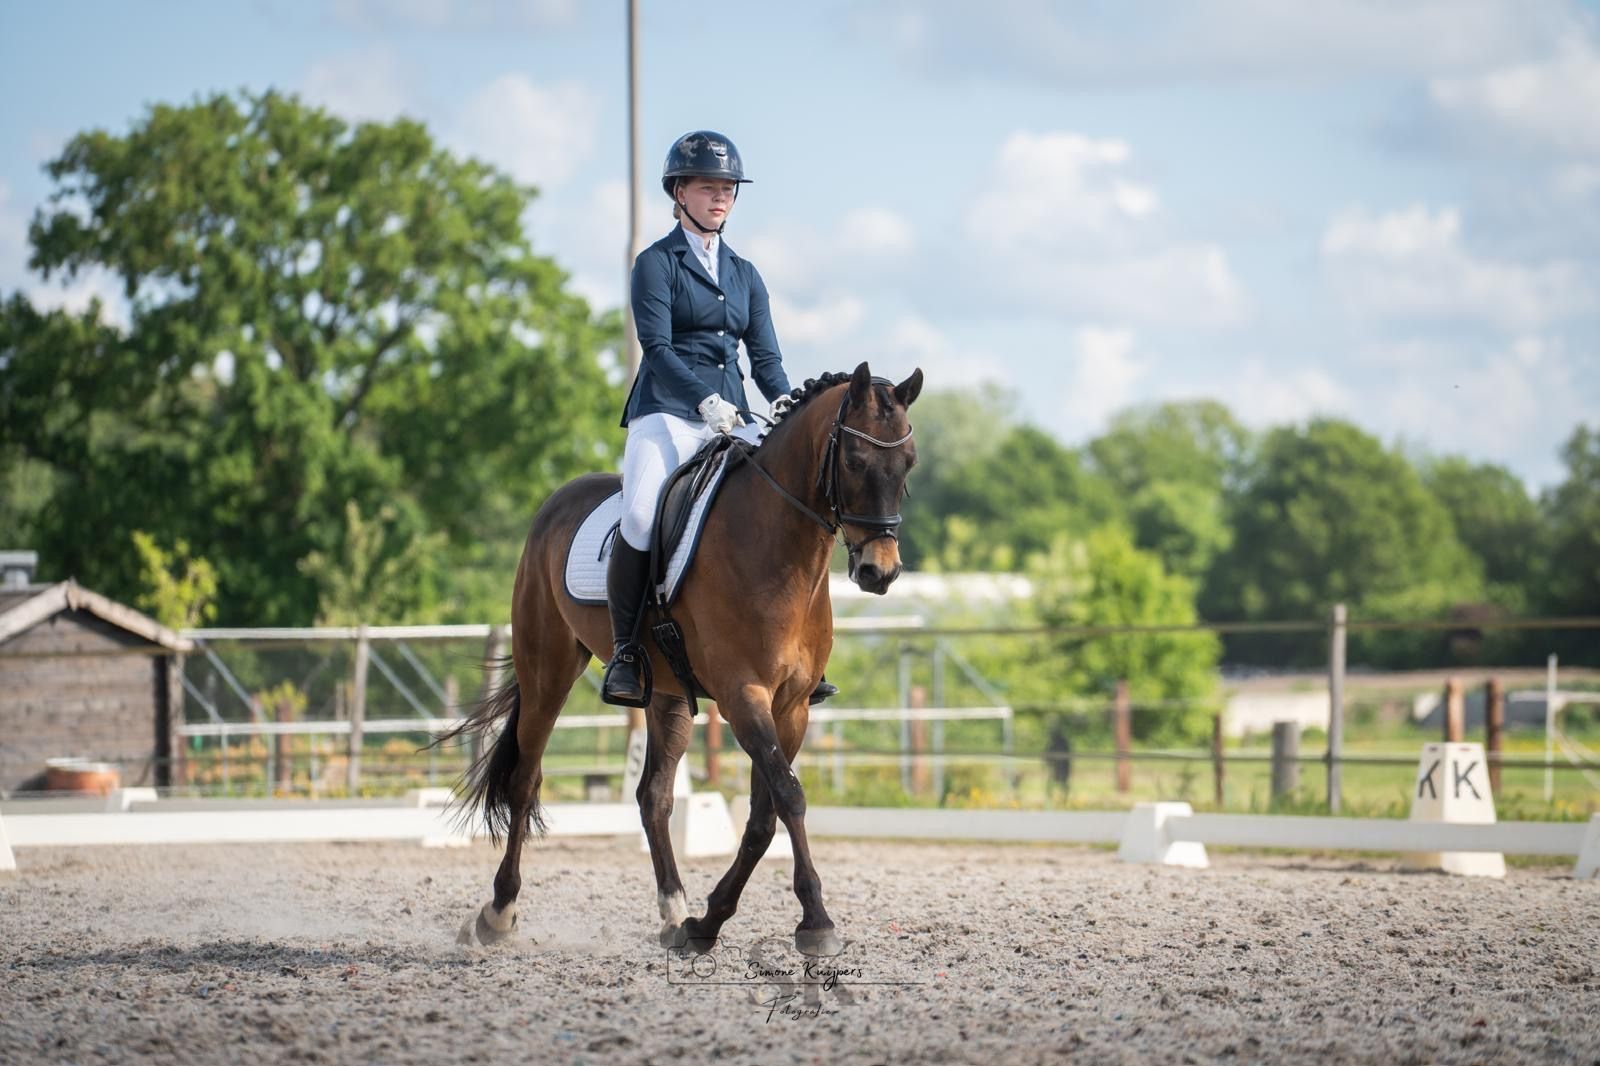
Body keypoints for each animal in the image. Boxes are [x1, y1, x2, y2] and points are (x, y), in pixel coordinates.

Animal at [447, 361, 923, 957]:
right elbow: (789, 797)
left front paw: (708, 921)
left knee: (654, 795)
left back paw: (674, 913)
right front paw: (816, 921)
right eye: (855, 460)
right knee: (525, 780)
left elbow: (765, 814)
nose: (880, 571)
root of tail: (556, 503)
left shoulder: (791, 706)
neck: (776, 547)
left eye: (908, 463)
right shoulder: (744, 696)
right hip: (547, 671)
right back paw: (498, 912)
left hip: (667, 694)